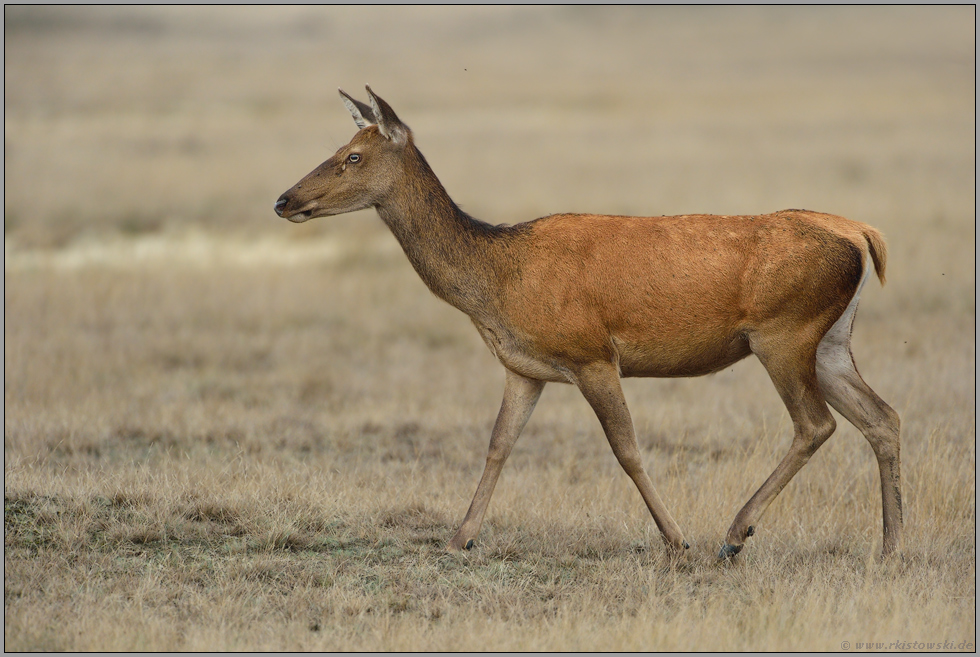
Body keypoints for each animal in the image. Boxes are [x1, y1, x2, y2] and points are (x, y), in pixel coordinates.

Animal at [274, 86, 904, 560]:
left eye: (353, 156)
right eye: (341, 146)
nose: (284, 200)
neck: (496, 284)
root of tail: (863, 234)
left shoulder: (592, 353)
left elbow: (627, 449)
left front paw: (676, 540)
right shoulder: (525, 368)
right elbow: (499, 444)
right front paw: (460, 537)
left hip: (783, 333)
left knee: (816, 424)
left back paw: (734, 534)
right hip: (830, 340)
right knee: (882, 417)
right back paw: (890, 548)